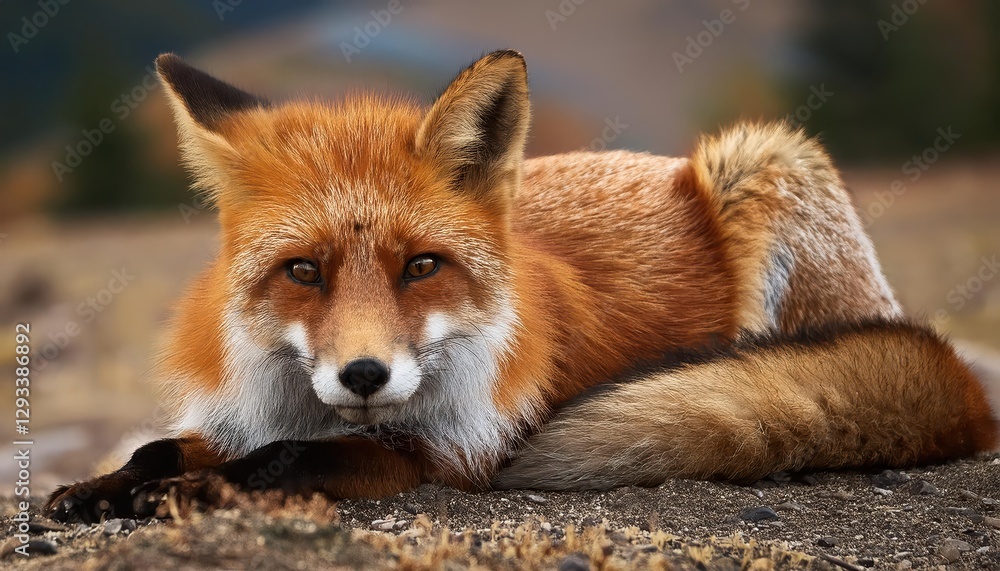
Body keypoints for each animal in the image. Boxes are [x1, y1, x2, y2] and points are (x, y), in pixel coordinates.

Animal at [46, 50, 997, 523]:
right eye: (303, 272)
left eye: (421, 265)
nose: (364, 375)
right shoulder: (248, 410)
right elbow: (162, 446)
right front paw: (105, 487)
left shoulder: (446, 450)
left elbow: (297, 459)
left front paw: (194, 494)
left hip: (763, 162)